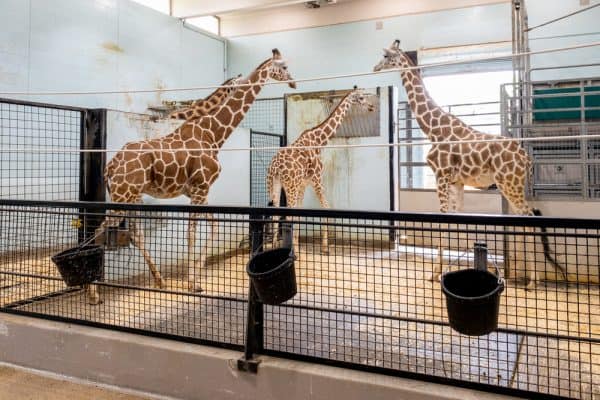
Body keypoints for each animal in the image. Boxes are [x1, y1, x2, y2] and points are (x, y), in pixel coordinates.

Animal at [87, 50, 296, 306]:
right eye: (284, 66)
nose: (293, 82)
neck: (214, 134)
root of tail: (110, 166)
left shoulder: (200, 191)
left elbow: (214, 227)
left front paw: (198, 272)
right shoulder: (200, 188)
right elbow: (191, 232)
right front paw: (192, 282)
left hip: (132, 196)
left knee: (135, 235)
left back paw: (159, 280)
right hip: (122, 195)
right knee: (99, 230)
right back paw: (93, 293)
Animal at [268, 88, 376, 255]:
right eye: (361, 97)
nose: (372, 106)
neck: (319, 141)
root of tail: (275, 167)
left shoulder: (304, 183)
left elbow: (300, 212)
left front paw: (298, 246)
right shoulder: (317, 179)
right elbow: (326, 207)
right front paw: (325, 248)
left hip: (275, 184)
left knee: (275, 214)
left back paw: (273, 247)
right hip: (290, 185)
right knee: (287, 215)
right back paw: (292, 252)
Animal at [372, 39, 564, 288]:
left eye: (386, 55)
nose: (375, 67)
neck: (434, 129)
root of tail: (526, 158)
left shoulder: (441, 175)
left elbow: (443, 220)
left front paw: (436, 273)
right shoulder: (457, 182)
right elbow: (456, 219)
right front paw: (449, 268)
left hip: (509, 184)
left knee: (529, 217)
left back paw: (533, 281)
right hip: (513, 185)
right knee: (524, 218)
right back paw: (527, 277)